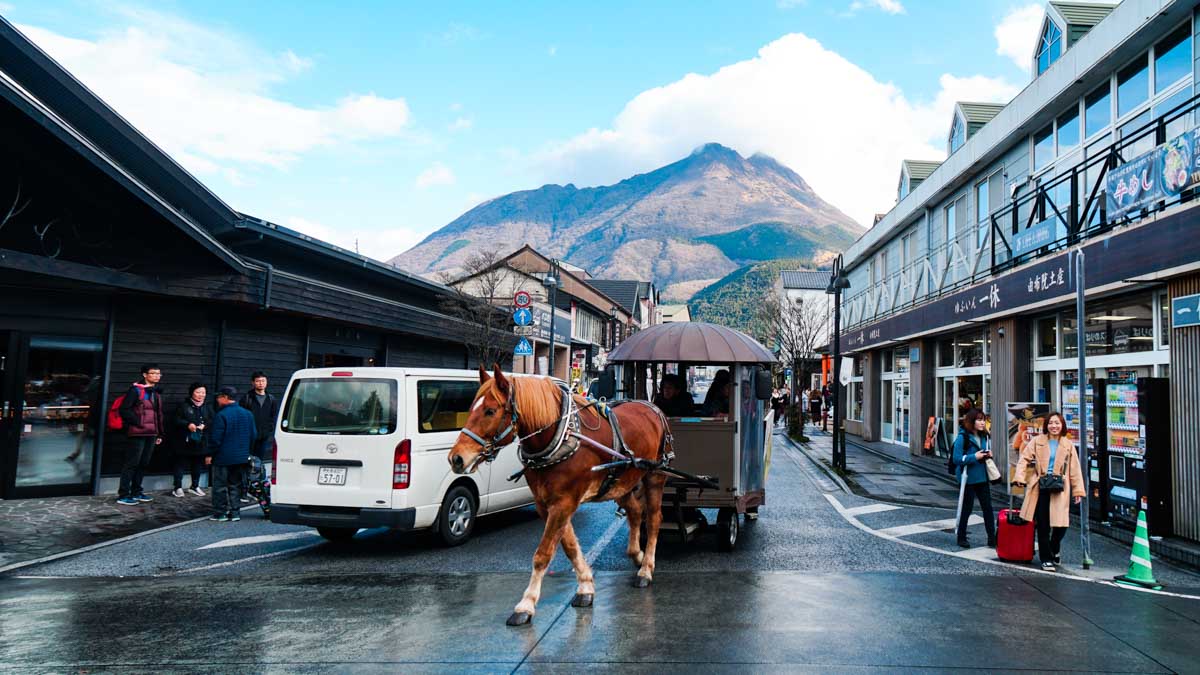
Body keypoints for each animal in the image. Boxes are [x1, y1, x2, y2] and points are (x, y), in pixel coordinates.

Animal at [451, 365, 676, 624]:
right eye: (471, 408)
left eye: (490, 411)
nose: (456, 458)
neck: (560, 437)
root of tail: (651, 406)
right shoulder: (546, 503)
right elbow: (568, 545)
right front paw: (585, 586)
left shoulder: (564, 501)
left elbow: (543, 553)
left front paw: (526, 604)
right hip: (621, 482)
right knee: (635, 512)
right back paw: (636, 555)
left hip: (655, 474)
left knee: (654, 519)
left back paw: (646, 569)